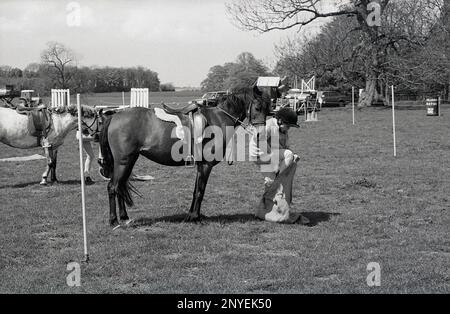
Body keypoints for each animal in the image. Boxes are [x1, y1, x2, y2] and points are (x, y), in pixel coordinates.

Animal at [99, 86, 270, 228]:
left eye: (268, 109)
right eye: (257, 107)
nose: (261, 134)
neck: (218, 118)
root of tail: (114, 117)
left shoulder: (201, 166)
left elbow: (196, 191)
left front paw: (191, 216)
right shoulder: (206, 165)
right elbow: (200, 191)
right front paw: (195, 217)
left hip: (129, 161)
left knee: (120, 186)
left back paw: (125, 217)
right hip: (123, 162)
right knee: (112, 187)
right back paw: (114, 221)